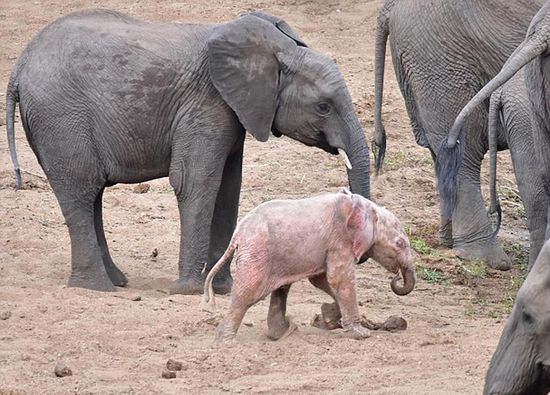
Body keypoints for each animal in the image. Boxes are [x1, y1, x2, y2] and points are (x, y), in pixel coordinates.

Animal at [5, 9, 370, 296]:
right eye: (323, 107)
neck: (277, 51)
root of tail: (19, 67)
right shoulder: (206, 105)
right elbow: (197, 183)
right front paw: (189, 291)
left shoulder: (231, 112)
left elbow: (228, 189)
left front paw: (223, 289)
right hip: (61, 118)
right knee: (81, 191)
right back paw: (97, 288)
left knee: (91, 194)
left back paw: (117, 281)